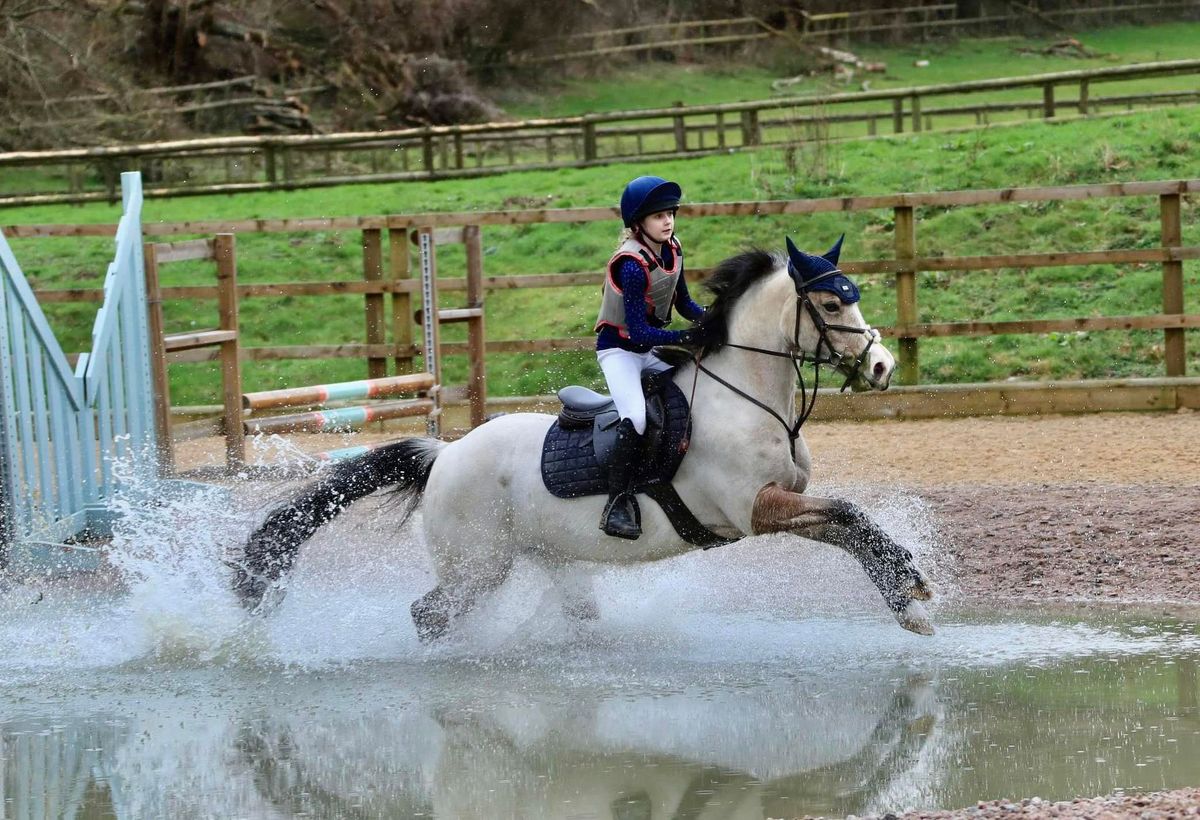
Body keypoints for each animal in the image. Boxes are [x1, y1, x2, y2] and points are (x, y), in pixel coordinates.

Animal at [229, 234, 931, 638]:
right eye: (833, 305)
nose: (882, 367)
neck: (747, 394)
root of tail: (445, 454)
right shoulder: (755, 509)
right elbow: (849, 514)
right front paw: (916, 598)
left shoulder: (783, 503)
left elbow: (850, 523)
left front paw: (910, 601)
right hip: (478, 566)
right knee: (430, 614)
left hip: (549, 557)